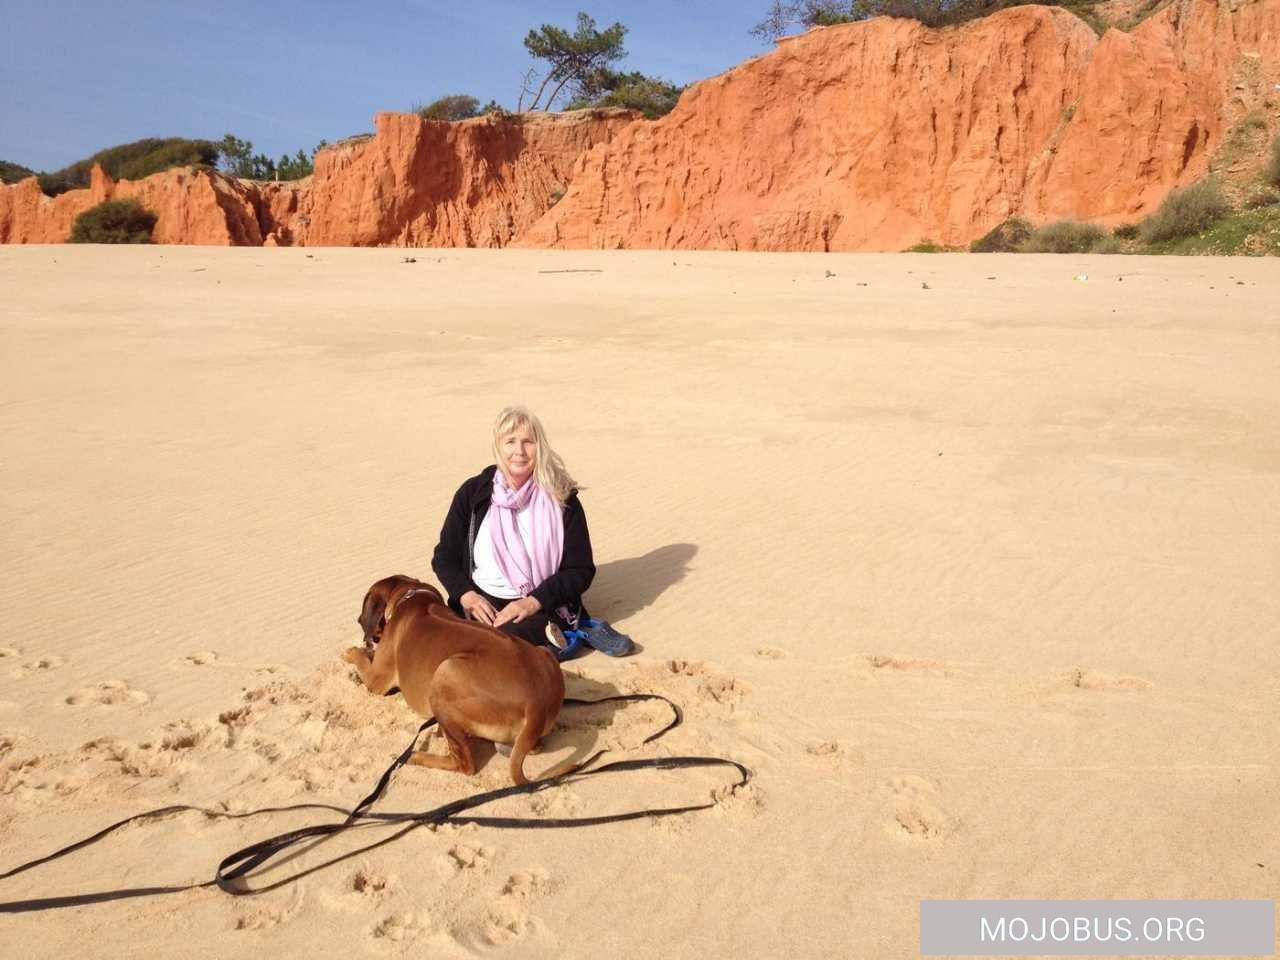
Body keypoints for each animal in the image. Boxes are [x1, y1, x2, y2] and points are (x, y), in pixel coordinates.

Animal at [343, 576, 563, 783]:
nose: (357, 619)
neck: (410, 595)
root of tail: (536, 705)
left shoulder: (375, 681)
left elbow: (362, 659)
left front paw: (352, 652)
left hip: (444, 673)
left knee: (464, 764)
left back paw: (415, 756)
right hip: (544, 652)